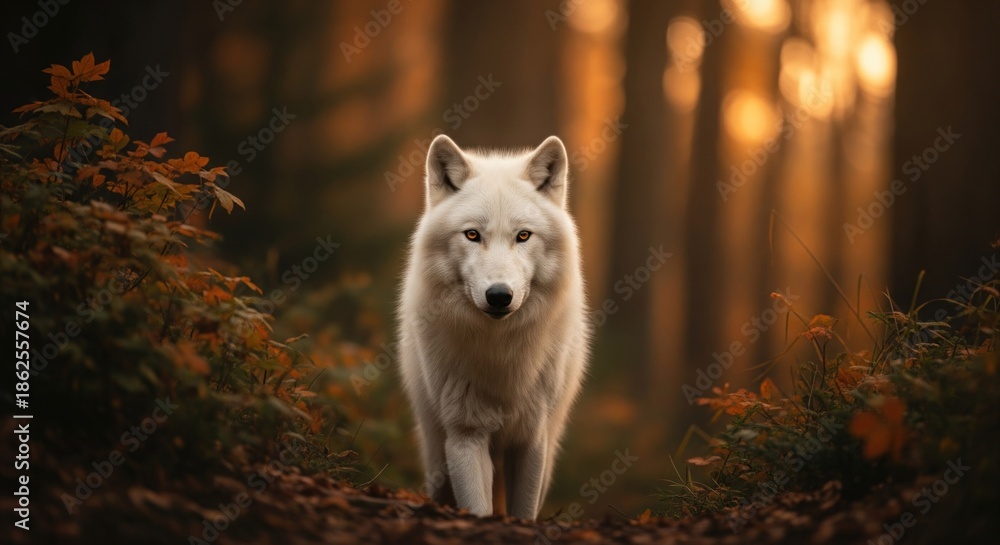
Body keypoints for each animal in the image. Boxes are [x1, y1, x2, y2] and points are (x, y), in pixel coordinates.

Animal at [398, 134, 590, 520]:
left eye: (523, 236)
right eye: (472, 235)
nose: (499, 296)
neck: (500, 351)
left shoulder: (531, 439)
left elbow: (523, 510)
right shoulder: (465, 433)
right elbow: (477, 507)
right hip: (436, 450)